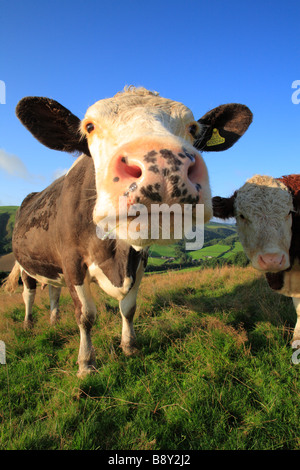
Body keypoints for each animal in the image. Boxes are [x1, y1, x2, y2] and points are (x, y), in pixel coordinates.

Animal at [5, 86, 253, 376]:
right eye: (89, 126)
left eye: (193, 128)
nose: (163, 167)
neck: (116, 256)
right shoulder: (71, 261)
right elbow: (85, 315)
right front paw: (86, 363)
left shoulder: (139, 261)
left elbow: (129, 308)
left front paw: (129, 346)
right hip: (26, 266)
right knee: (29, 293)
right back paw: (28, 323)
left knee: (53, 290)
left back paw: (54, 321)